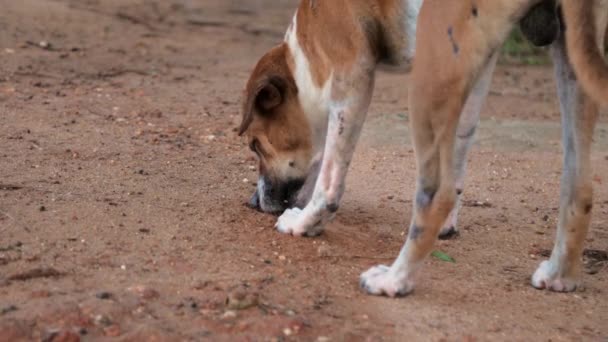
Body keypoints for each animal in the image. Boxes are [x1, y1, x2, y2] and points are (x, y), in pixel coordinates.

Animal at [238, 0, 608, 296]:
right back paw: (561, 275)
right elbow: (460, 153)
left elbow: (330, 178)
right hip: (571, 58)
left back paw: (395, 280)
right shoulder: (479, 70)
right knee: (578, 185)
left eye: (256, 145)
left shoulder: (352, 73)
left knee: (435, 194)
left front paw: (306, 224)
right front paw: (448, 225)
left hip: (427, 77)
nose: (253, 203)